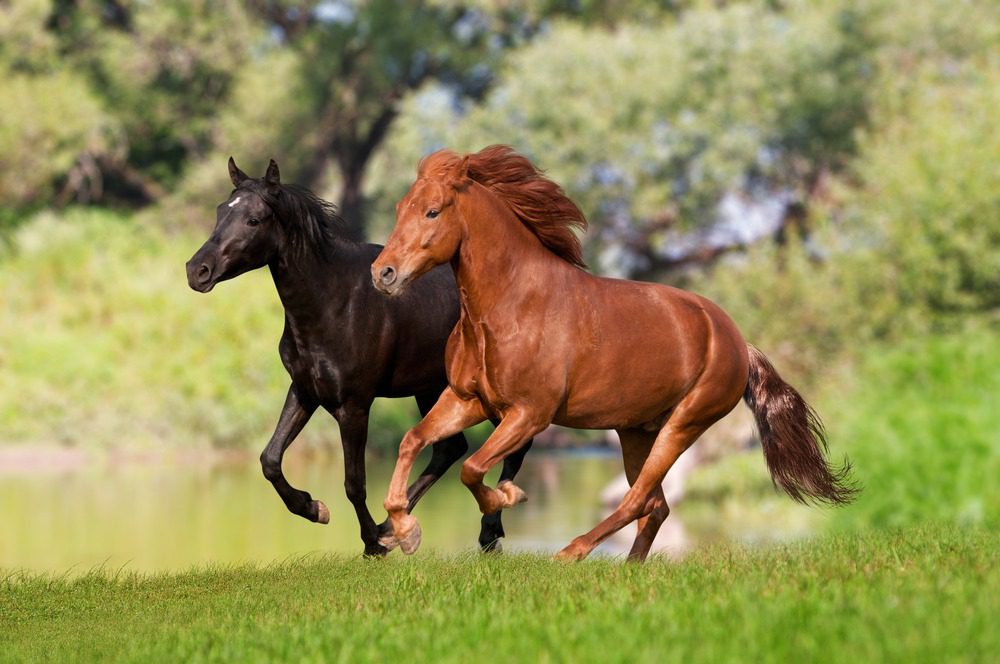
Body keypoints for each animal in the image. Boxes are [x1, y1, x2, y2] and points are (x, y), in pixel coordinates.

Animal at [185, 157, 532, 556]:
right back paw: (398, 529)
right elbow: (269, 459)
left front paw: (371, 544)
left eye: (254, 219)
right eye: (220, 211)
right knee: (451, 448)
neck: (334, 302)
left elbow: (354, 482)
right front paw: (316, 508)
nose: (197, 270)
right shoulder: (305, 391)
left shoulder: (354, 405)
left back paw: (486, 531)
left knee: (514, 444)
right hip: (431, 389)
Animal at [370, 145, 856, 561]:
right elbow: (412, 440)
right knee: (656, 506)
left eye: (432, 211)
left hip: (683, 424)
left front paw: (508, 496)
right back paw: (629, 567)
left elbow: (471, 468)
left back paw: (571, 553)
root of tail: (737, 340)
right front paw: (404, 532)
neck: (510, 307)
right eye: (398, 209)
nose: (383, 274)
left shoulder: (529, 413)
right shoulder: (467, 400)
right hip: (636, 431)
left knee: (638, 499)